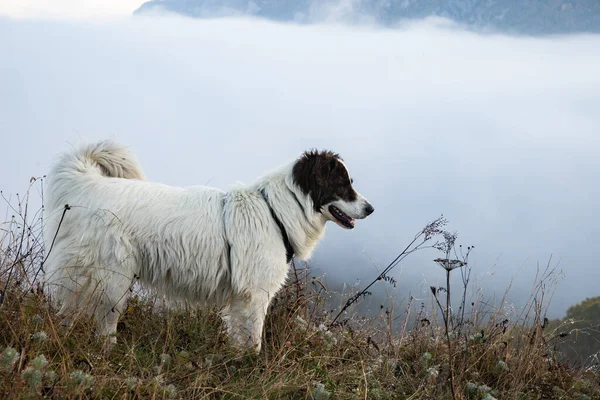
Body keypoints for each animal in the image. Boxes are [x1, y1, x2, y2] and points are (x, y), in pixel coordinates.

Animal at [44, 140, 376, 350]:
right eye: (342, 184)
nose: (371, 208)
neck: (277, 212)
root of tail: (90, 185)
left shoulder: (240, 298)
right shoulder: (255, 296)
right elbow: (254, 341)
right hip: (113, 279)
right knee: (100, 320)